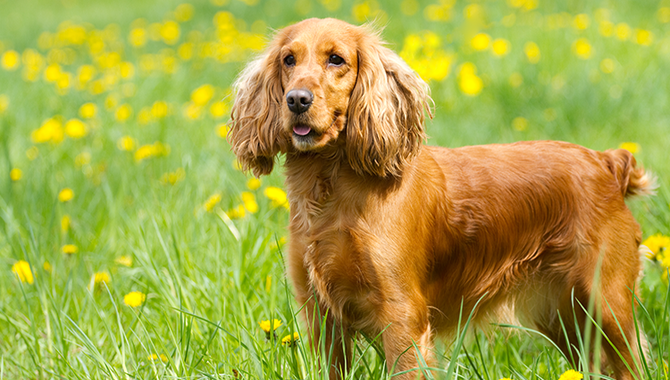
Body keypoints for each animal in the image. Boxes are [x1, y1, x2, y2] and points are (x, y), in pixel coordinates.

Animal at [228, 17, 652, 378]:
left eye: (337, 59)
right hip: (565, 318)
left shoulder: (402, 316)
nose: (297, 99)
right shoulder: (321, 316)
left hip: (607, 304)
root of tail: (606, 162)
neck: (332, 191)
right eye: (288, 59)